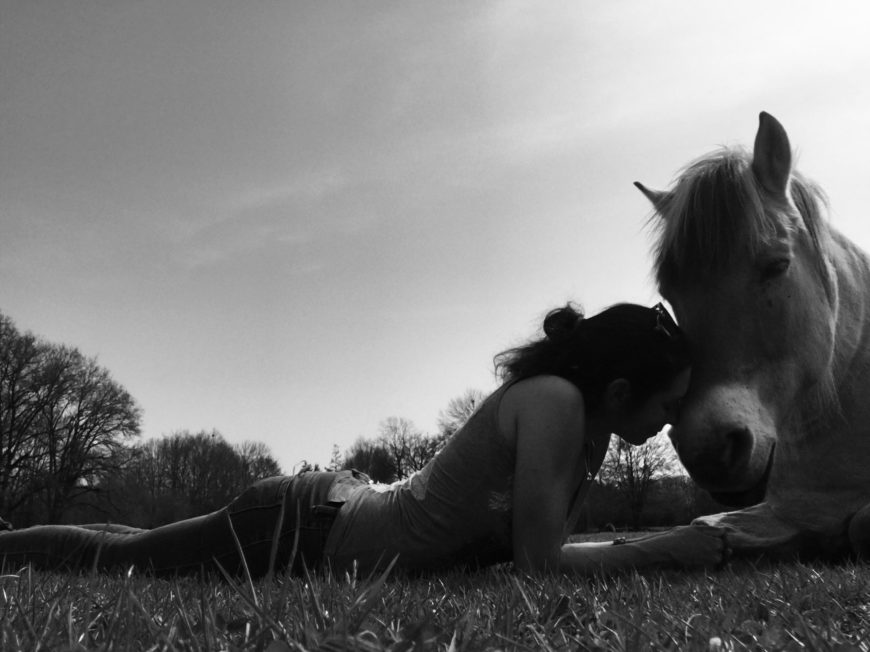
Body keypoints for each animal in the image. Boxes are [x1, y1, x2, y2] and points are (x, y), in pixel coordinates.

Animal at [636, 113, 870, 560]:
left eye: (777, 265)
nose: (708, 451)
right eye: (670, 294)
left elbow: (857, 525)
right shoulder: (784, 509)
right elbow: (691, 532)